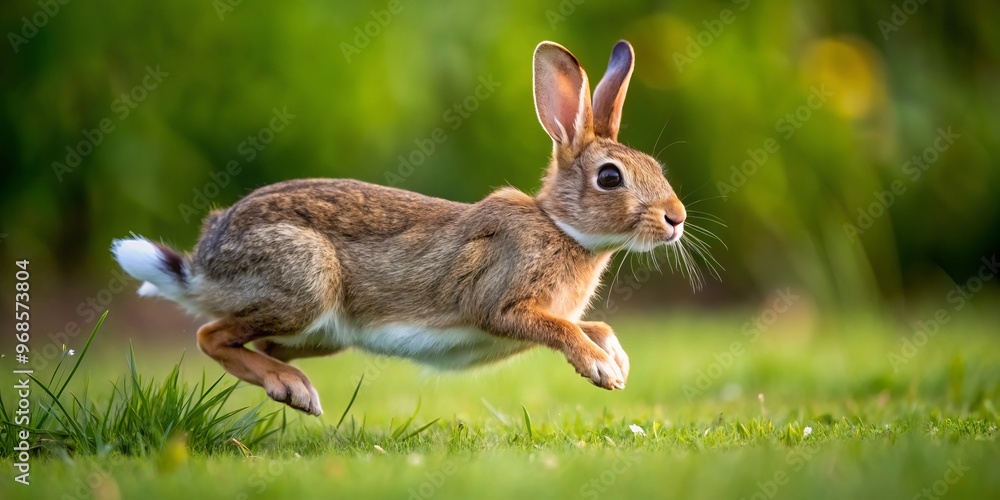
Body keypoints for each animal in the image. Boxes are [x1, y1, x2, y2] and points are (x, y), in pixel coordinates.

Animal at [111, 40, 687, 416]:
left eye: (657, 167)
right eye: (609, 177)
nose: (676, 218)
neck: (562, 228)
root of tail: (204, 261)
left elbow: (596, 325)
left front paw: (616, 360)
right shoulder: (501, 304)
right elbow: (561, 328)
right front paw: (602, 370)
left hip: (320, 332)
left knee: (261, 344)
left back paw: (292, 386)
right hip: (304, 282)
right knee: (210, 336)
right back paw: (293, 390)